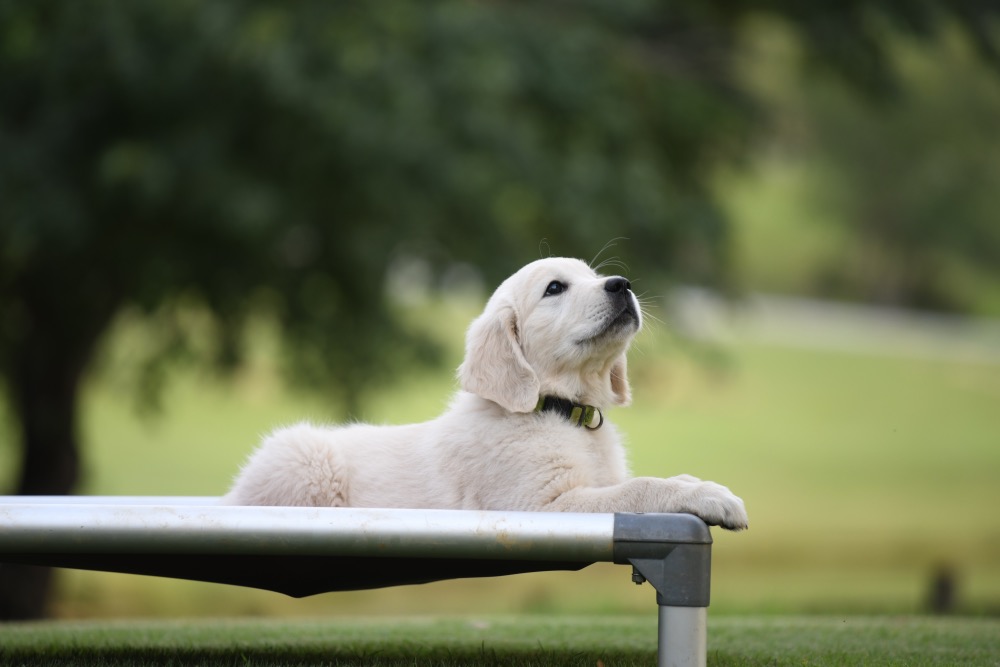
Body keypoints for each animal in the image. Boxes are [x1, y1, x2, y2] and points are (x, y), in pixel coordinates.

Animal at [223, 258, 748, 532]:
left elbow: (644, 480)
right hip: (303, 458)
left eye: (593, 274)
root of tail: (232, 497)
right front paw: (706, 497)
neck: (557, 412)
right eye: (554, 289)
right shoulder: (540, 506)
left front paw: (702, 484)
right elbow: (637, 490)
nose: (622, 284)